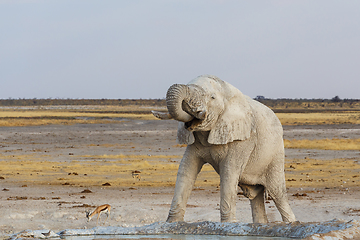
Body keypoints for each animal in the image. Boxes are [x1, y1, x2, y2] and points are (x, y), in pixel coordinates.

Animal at [152, 74, 296, 223]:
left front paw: (228, 223)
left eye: (212, 97)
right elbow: (186, 170)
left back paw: (292, 222)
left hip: (276, 154)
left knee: (277, 193)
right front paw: (172, 223)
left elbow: (229, 172)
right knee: (256, 197)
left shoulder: (242, 139)